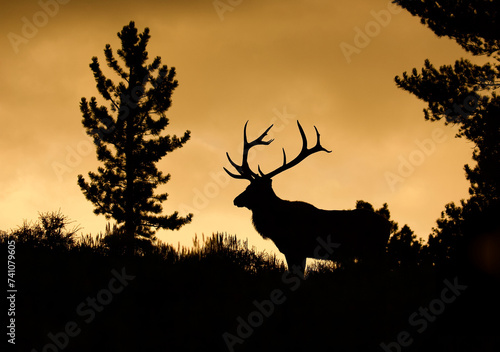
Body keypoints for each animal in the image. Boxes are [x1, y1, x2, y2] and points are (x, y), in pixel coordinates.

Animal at [225, 121, 392, 276]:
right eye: (247, 186)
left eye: (253, 188)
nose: (236, 200)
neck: (277, 225)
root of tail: (388, 225)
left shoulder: (295, 250)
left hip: (374, 250)